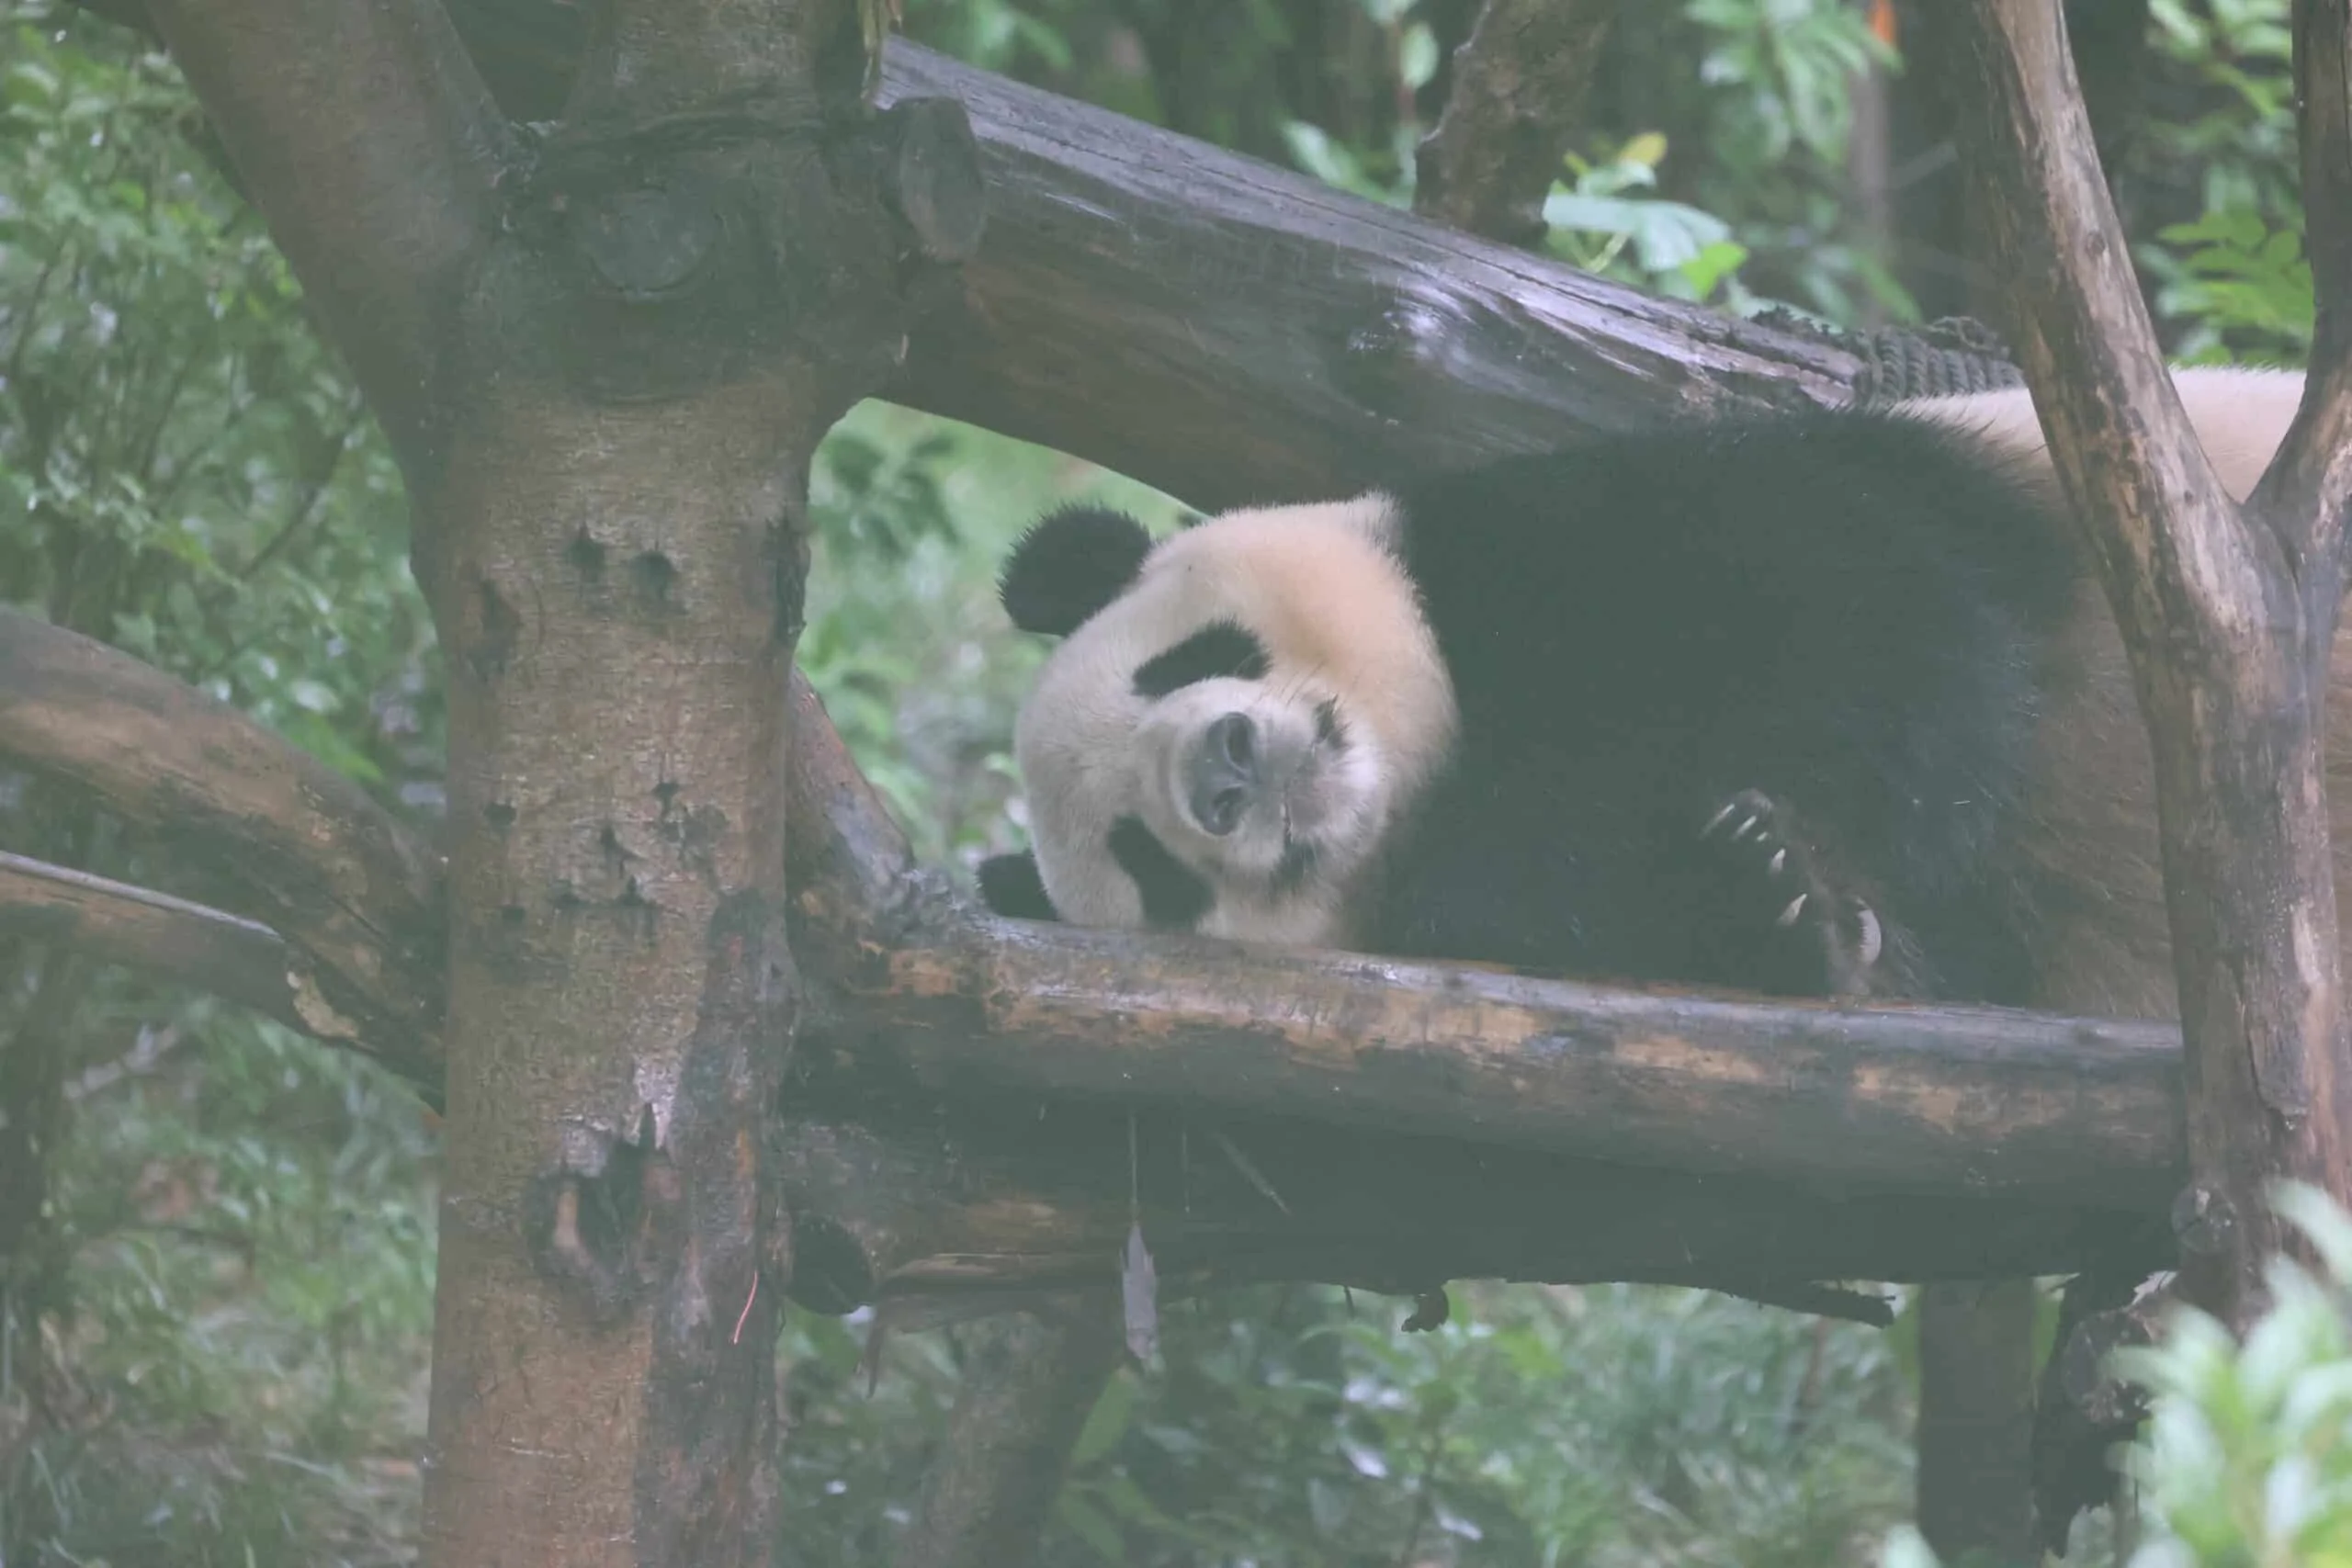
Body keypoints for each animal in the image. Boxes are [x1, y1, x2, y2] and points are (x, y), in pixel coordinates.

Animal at [975, 366, 2352, 1020]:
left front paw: (1795, 842)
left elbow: (1869, 613)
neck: (1441, 753)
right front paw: (1770, 890)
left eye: (1183, 661)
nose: (1220, 773)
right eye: (1147, 864)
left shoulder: (1566, 537)